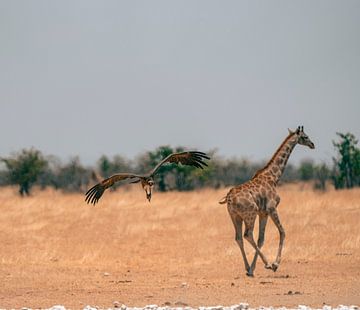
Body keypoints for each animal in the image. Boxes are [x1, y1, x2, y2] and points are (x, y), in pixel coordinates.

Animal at [218, 126, 314, 276]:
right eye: (305, 136)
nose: (313, 145)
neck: (274, 177)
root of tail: (229, 198)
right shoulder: (271, 208)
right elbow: (282, 232)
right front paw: (275, 264)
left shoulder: (263, 212)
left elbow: (261, 239)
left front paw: (253, 268)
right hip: (250, 214)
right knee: (247, 235)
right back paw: (267, 264)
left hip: (235, 216)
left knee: (239, 237)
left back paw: (248, 268)